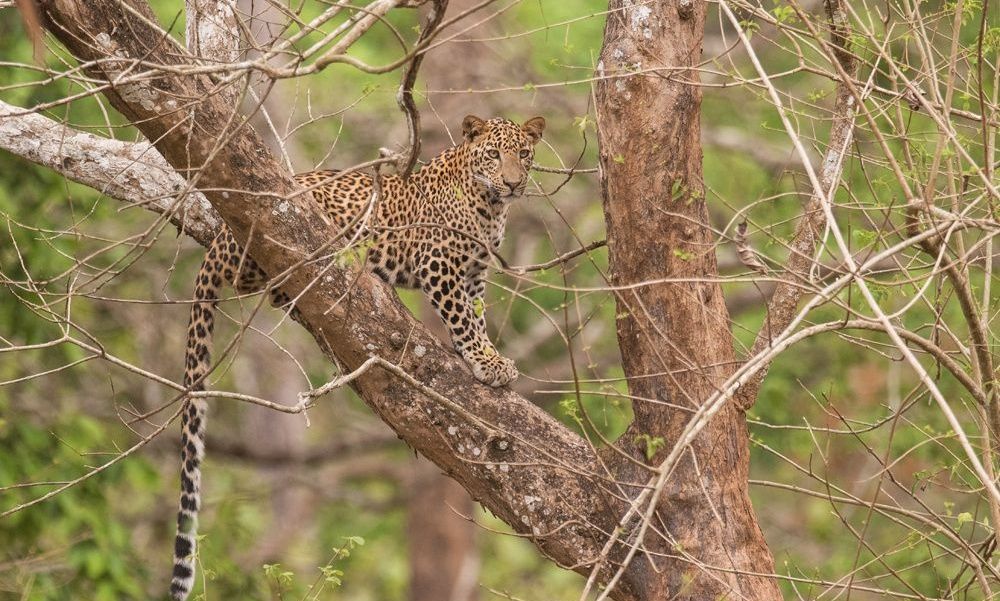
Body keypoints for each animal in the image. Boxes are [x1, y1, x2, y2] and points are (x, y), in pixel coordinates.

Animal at [169, 115, 545, 600]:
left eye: (524, 154)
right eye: (494, 155)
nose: (514, 182)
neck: (490, 205)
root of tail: (218, 236)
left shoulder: (475, 274)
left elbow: (476, 318)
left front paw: (488, 356)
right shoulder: (440, 264)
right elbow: (462, 318)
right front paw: (487, 364)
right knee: (252, 277)